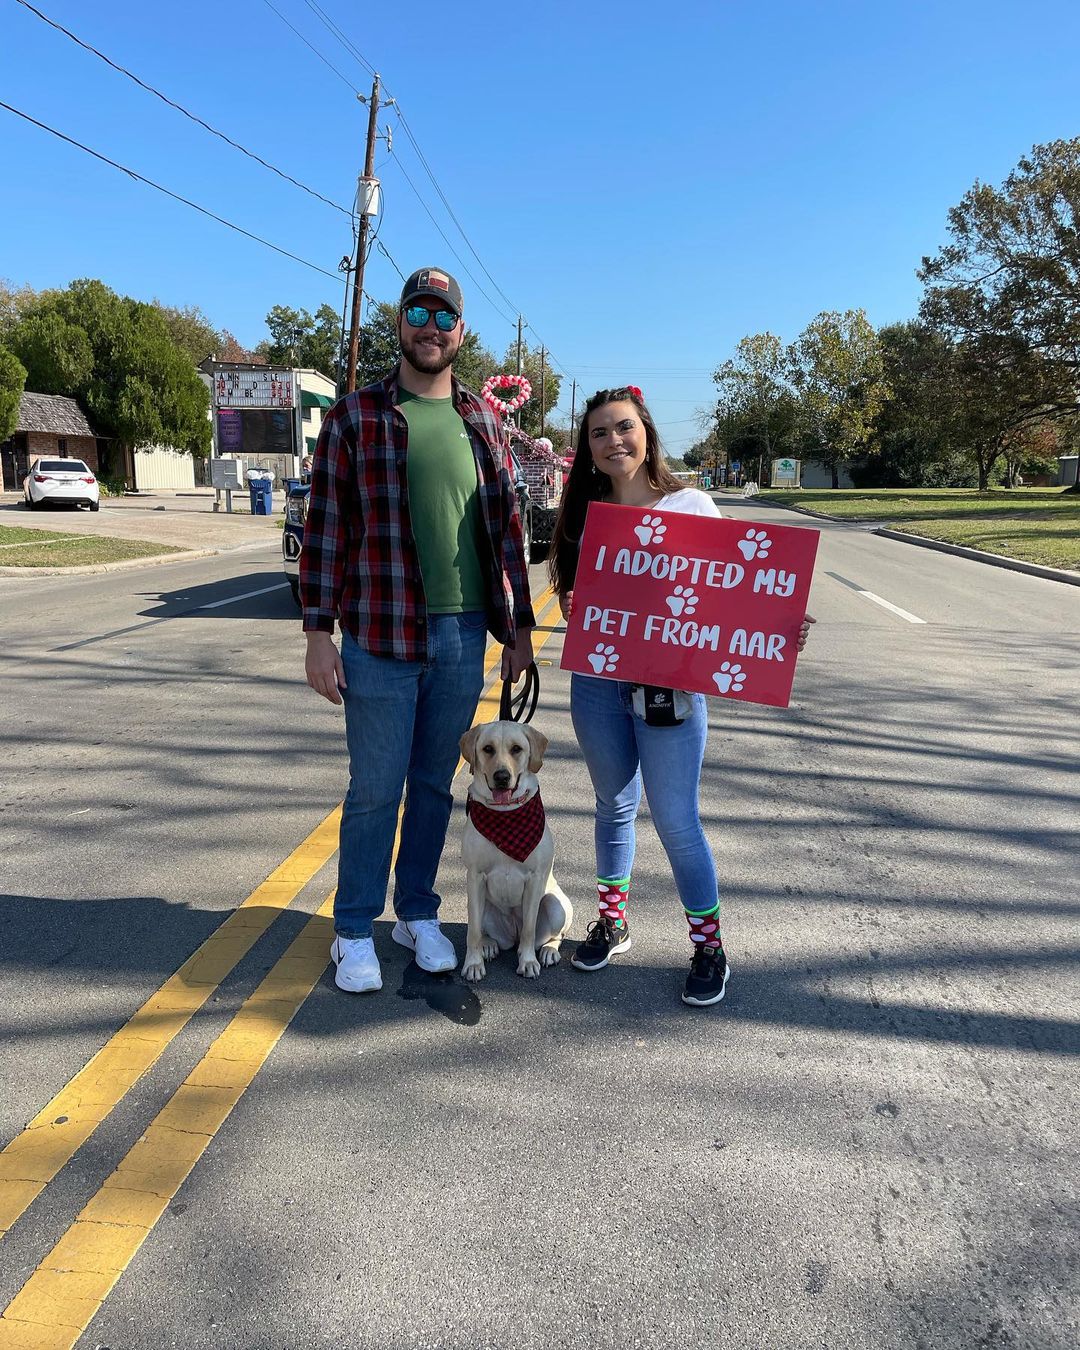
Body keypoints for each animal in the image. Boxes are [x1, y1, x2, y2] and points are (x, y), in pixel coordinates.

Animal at [459, 718, 572, 982]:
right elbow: (473, 931)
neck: (506, 815)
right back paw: (489, 945)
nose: (501, 776)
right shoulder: (475, 877)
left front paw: (528, 961)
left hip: (556, 905)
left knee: (553, 935)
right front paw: (473, 963)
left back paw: (549, 950)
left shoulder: (535, 879)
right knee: (482, 929)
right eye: (487, 749)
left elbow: (530, 929)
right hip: (482, 904)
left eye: (516, 749)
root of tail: (512, 935)